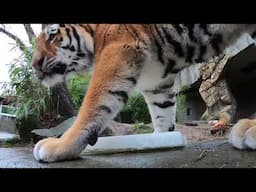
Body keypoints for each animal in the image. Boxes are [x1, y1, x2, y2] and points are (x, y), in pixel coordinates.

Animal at [32, 24, 256, 162]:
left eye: (52, 36)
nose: (35, 64)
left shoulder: (116, 51)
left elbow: (92, 104)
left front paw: (59, 146)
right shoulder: (157, 82)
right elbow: (163, 112)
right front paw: (160, 139)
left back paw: (248, 130)